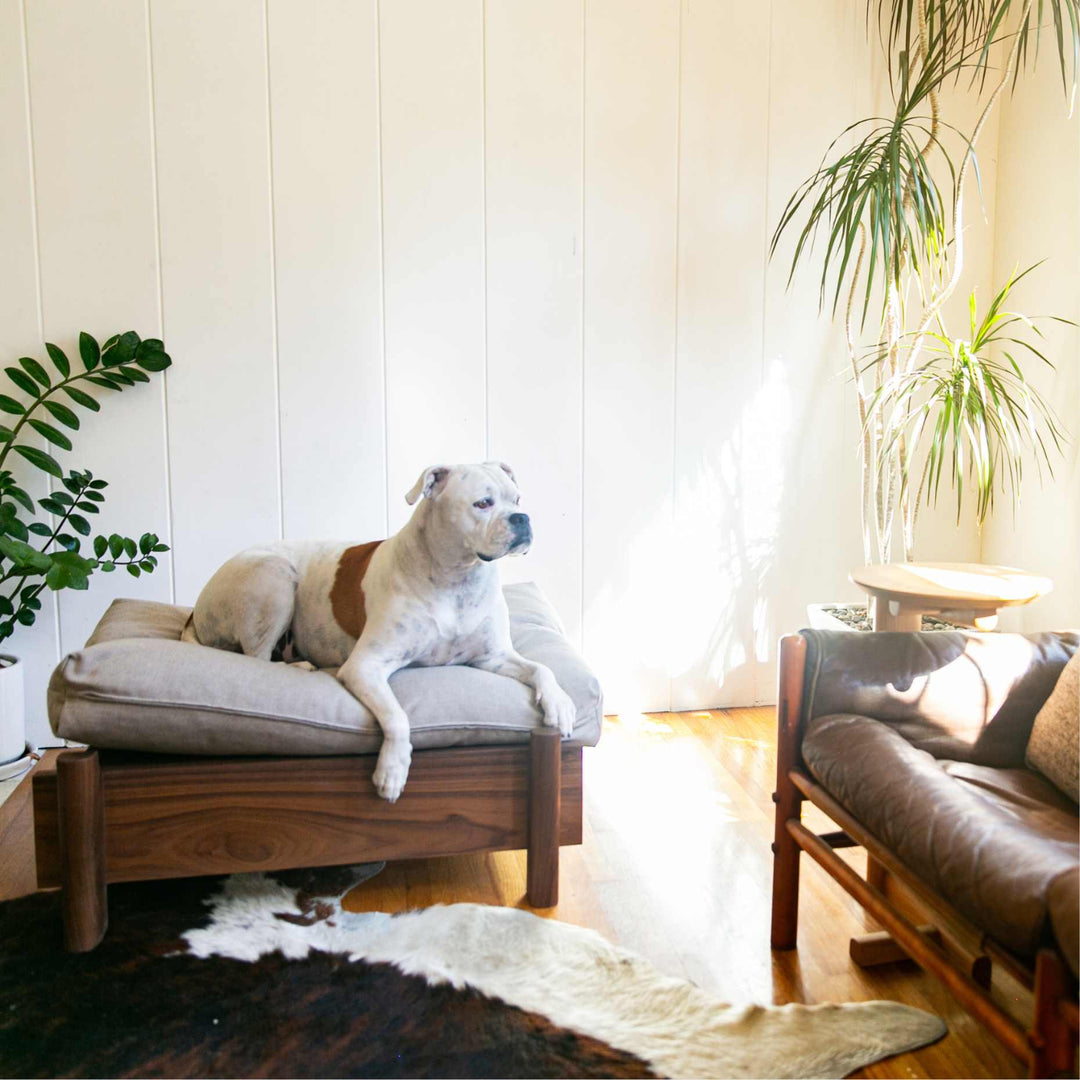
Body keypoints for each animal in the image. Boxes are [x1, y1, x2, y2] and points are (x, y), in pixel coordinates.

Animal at [181, 462, 578, 803]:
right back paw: (300, 666)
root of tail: (194, 612)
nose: (522, 518)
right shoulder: (365, 667)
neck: (456, 575)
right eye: (483, 503)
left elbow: (542, 668)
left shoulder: (493, 657)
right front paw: (392, 770)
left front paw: (560, 705)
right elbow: (398, 717)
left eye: (517, 500)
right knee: (258, 657)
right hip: (274, 576)